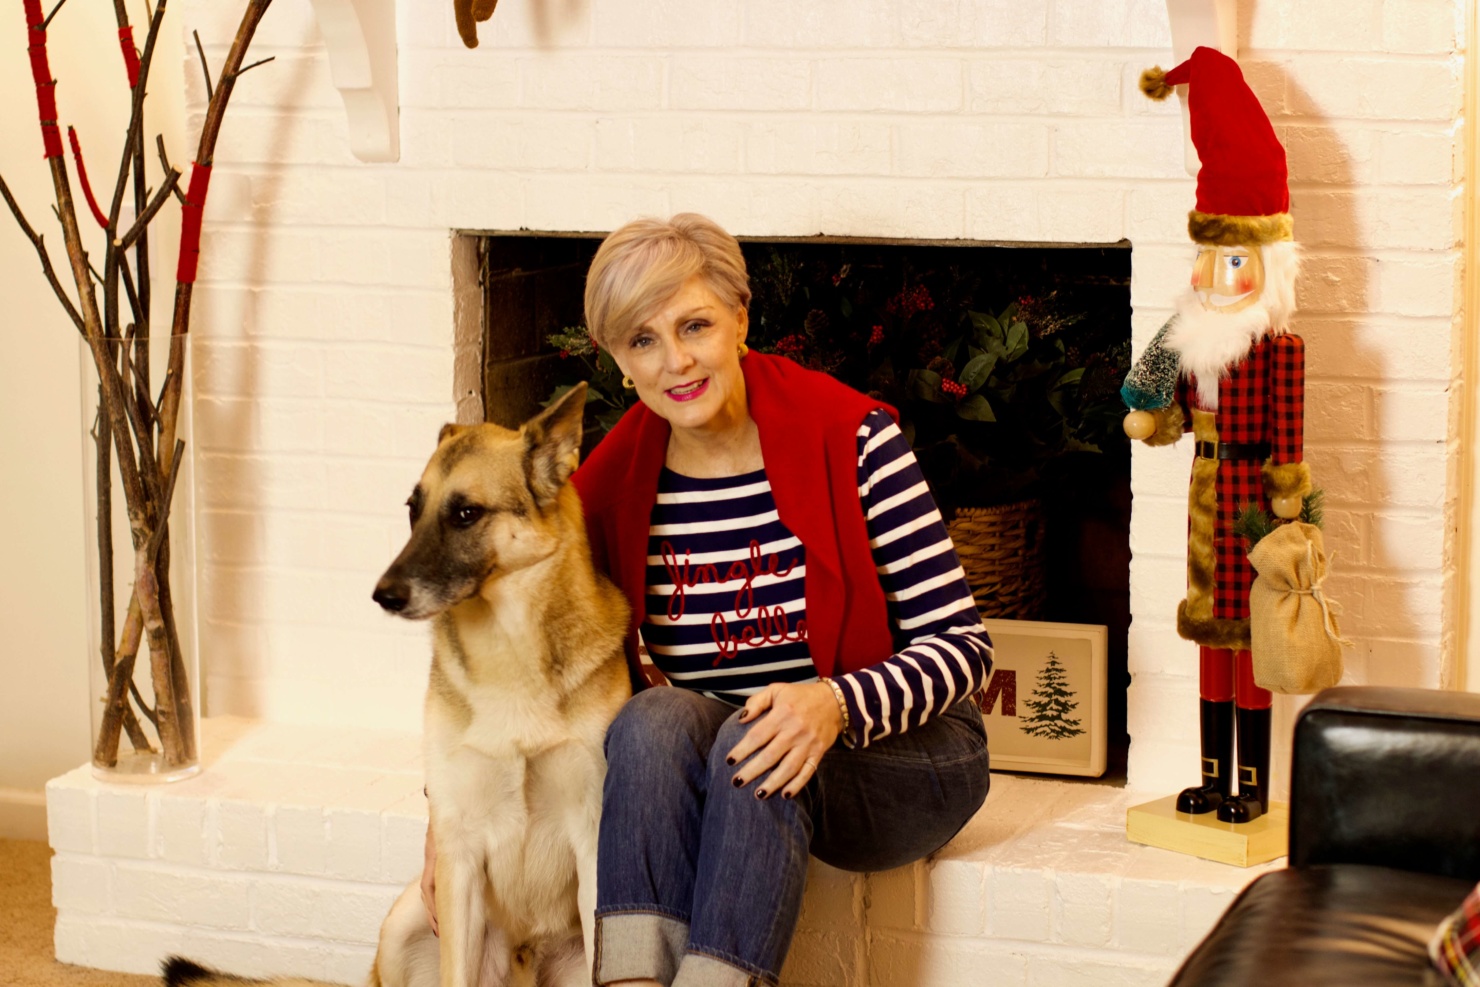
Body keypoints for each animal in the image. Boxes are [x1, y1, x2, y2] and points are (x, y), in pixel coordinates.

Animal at [167, 384, 630, 987]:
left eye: (465, 513)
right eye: (413, 509)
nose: (382, 596)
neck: (509, 652)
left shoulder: (594, 845)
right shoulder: (458, 856)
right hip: (406, 918)